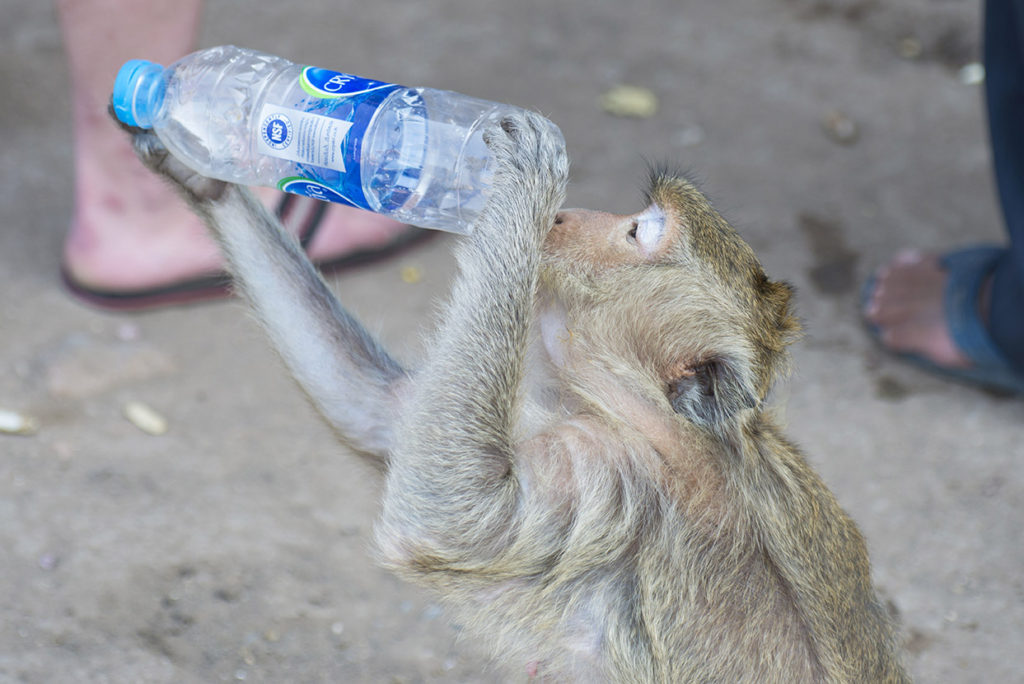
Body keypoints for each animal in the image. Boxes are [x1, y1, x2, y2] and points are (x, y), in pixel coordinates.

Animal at [116, 109, 909, 679]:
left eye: (639, 231)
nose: (564, 215)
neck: (652, 418)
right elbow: (381, 414)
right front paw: (203, 165)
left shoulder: (617, 483)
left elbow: (450, 518)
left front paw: (520, 181)